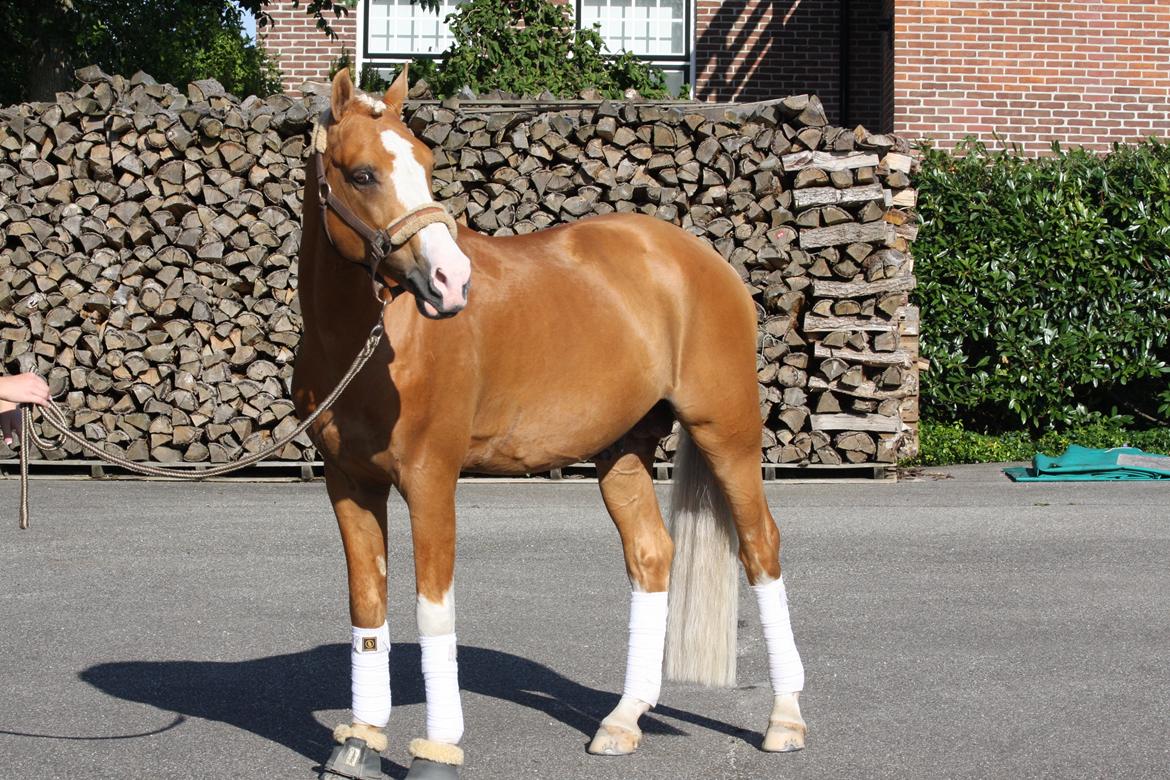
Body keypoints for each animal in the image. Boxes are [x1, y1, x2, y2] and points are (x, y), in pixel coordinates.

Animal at [292, 68, 808, 780]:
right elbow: (368, 606)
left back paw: (784, 719)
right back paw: (622, 720)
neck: (370, 346)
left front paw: (438, 749)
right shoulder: (348, 484)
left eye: (425, 161)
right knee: (652, 554)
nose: (450, 282)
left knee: (761, 548)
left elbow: (432, 612)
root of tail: (700, 259)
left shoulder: (430, 481)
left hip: (727, 435)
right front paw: (359, 740)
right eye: (363, 174)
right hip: (623, 451)